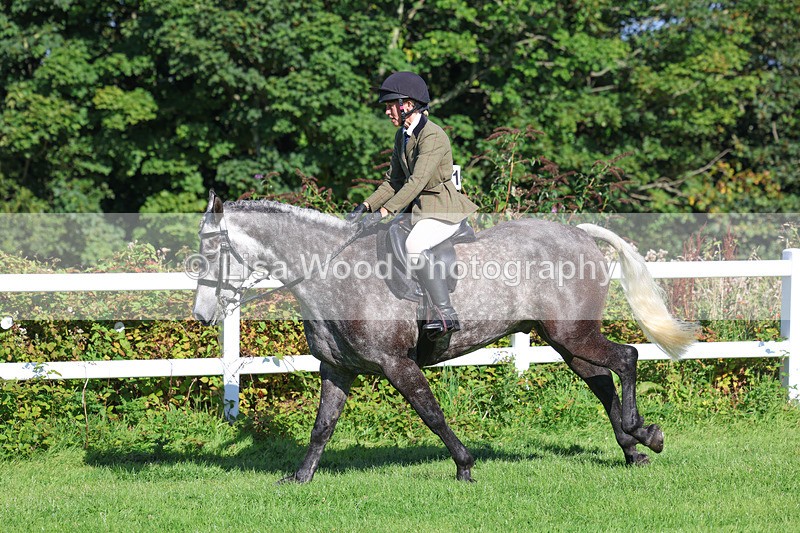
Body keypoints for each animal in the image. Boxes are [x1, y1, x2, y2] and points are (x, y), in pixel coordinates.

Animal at [192, 190, 696, 483]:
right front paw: (299, 479)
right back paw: (634, 450)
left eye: (213, 249)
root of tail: (577, 234)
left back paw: (643, 433)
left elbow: (431, 414)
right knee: (602, 379)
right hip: (563, 340)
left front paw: (465, 467)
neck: (333, 273)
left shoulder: (396, 364)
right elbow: (322, 427)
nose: (202, 314)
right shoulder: (337, 368)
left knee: (626, 358)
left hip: (573, 333)